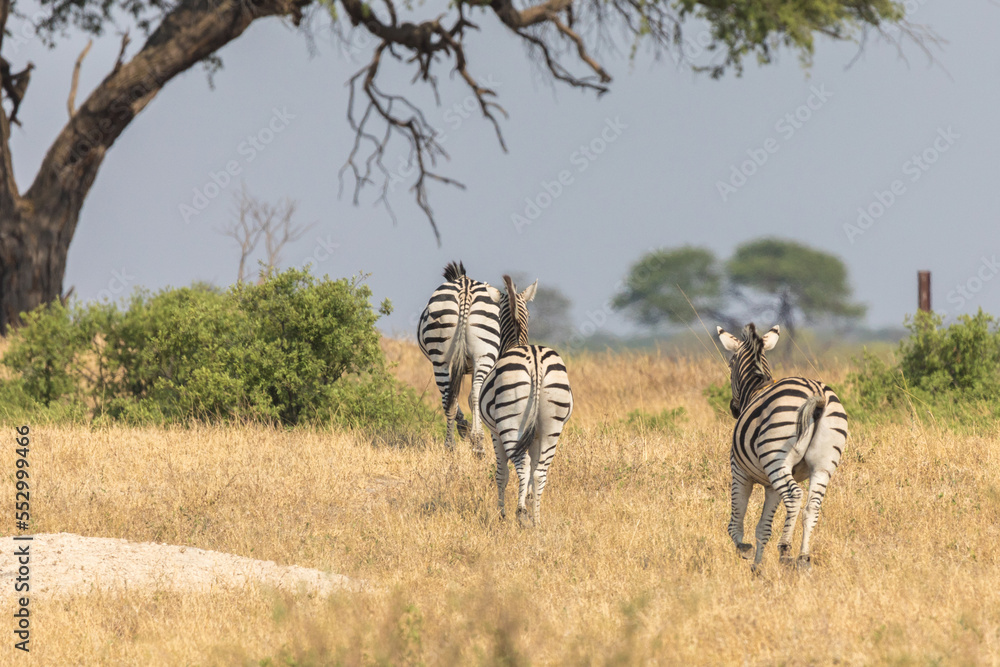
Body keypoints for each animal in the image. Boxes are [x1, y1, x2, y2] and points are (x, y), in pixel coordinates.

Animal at [417, 262, 531, 451]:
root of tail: (465, 287)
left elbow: (456, 398)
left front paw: (464, 427)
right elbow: (472, 398)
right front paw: (471, 431)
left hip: (440, 356)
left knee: (447, 395)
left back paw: (450, 445)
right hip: (483, 354)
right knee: (476, 391)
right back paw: (478, 442)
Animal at [481, 275, 573, 528]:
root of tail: (535, 359)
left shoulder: (494, 432)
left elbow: (502, 473)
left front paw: (502, 514)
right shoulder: (535, 434)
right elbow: (532, 469)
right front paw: (530, 502)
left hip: (511, 423)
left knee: (520, 467)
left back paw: (520, 513)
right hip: (552, 425)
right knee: (540, 471)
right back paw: (536, 519)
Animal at [717, 323, 848, 570]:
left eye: (730, 364)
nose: (733, 409)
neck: (756, 387)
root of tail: (816, 393)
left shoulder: (739, 471)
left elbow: (736, 519)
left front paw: (744, 549)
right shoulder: (770, 485)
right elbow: (763, 528)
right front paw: (757, 568)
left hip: (777, 458)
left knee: (795, 496)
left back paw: (786, 549)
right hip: (823, 464)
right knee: (812, 506)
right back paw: (803, 557)